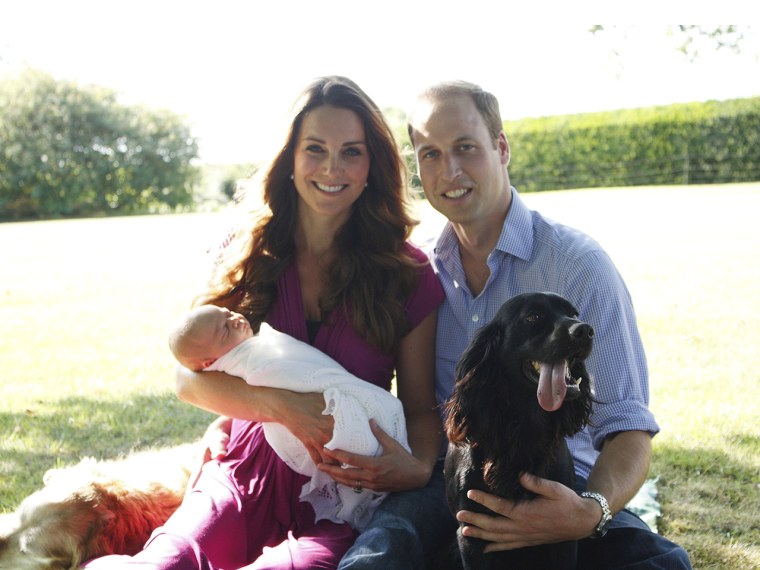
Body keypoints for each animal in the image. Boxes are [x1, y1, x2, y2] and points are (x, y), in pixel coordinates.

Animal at [442, 290, 596, 564]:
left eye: (574, 314)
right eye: (532, 317)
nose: (586, 330)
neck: (524, 425)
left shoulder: (564, 530)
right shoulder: (470, 533)